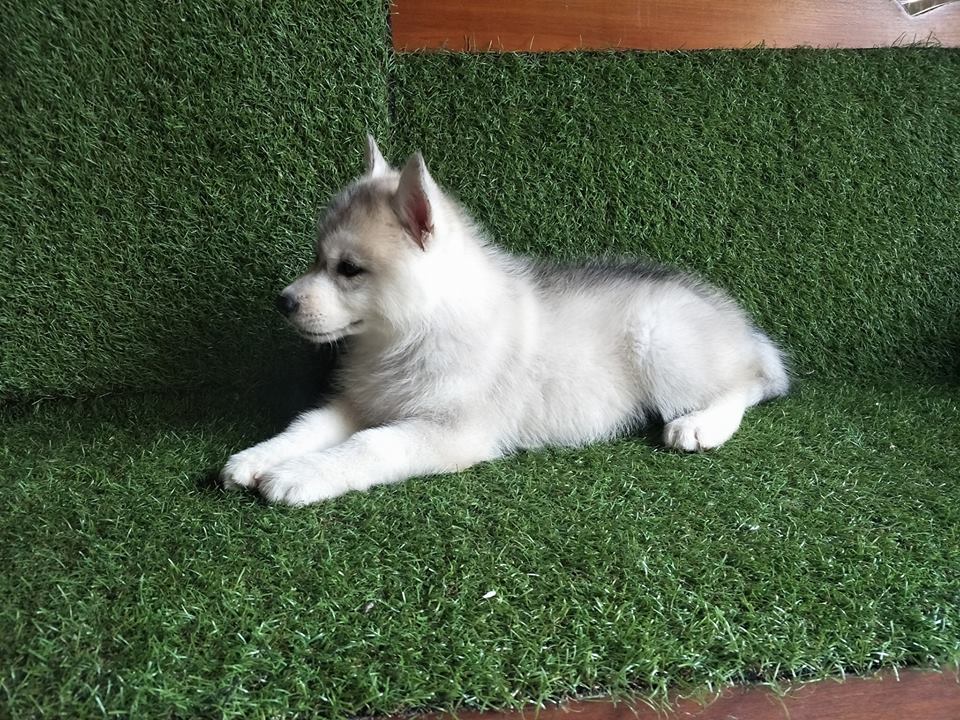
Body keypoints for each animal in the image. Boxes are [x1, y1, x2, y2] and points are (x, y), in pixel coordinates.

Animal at [221, 136, 789, 506]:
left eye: (348, 269)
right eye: (317, 258)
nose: (283, 301)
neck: (407, 335)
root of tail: (738, 323)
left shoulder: (451, 431)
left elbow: (371, 445)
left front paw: (302, 475)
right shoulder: (360, 401)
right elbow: (308, 424)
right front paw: (260, 456)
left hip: (664, 345)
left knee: (750, 383)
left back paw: (701, 424)